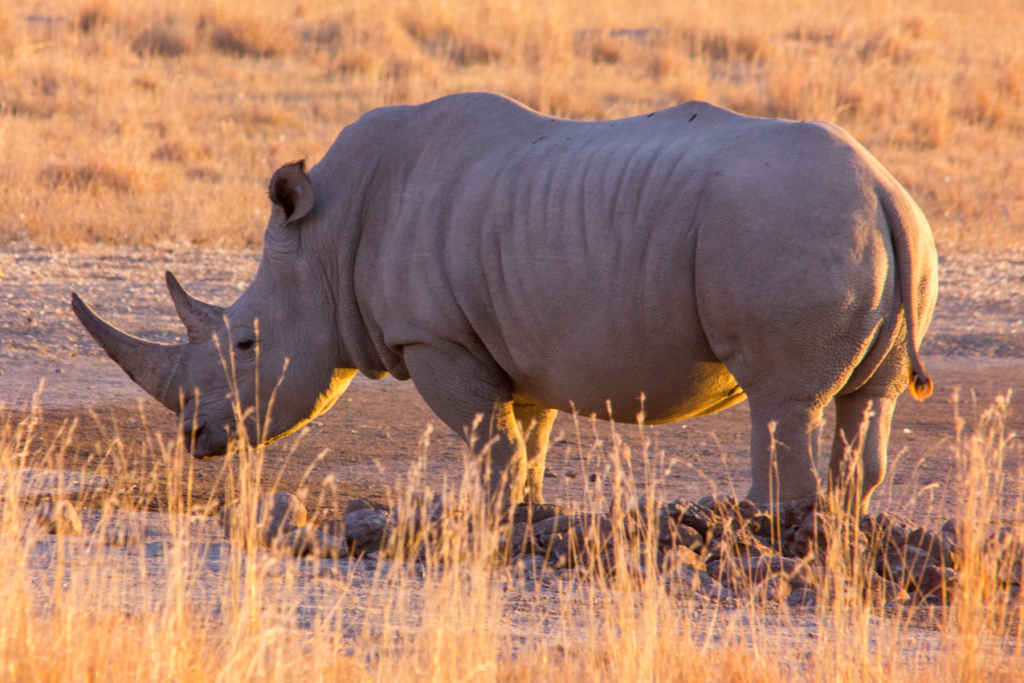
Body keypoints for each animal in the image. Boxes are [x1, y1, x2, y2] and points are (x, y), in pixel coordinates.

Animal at [70, 90, 937, 509]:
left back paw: (757, 521)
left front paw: (494, 523)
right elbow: (526, 439)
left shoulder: (435, 338)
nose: (195, 438)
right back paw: (840, 526)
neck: (324, 241)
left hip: (786, 224)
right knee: (868, 397)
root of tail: (881, 188)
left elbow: (488, 438)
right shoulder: (518, 341)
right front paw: (528, 515)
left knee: (781, 398)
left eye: (246, 345)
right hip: (891, 236)